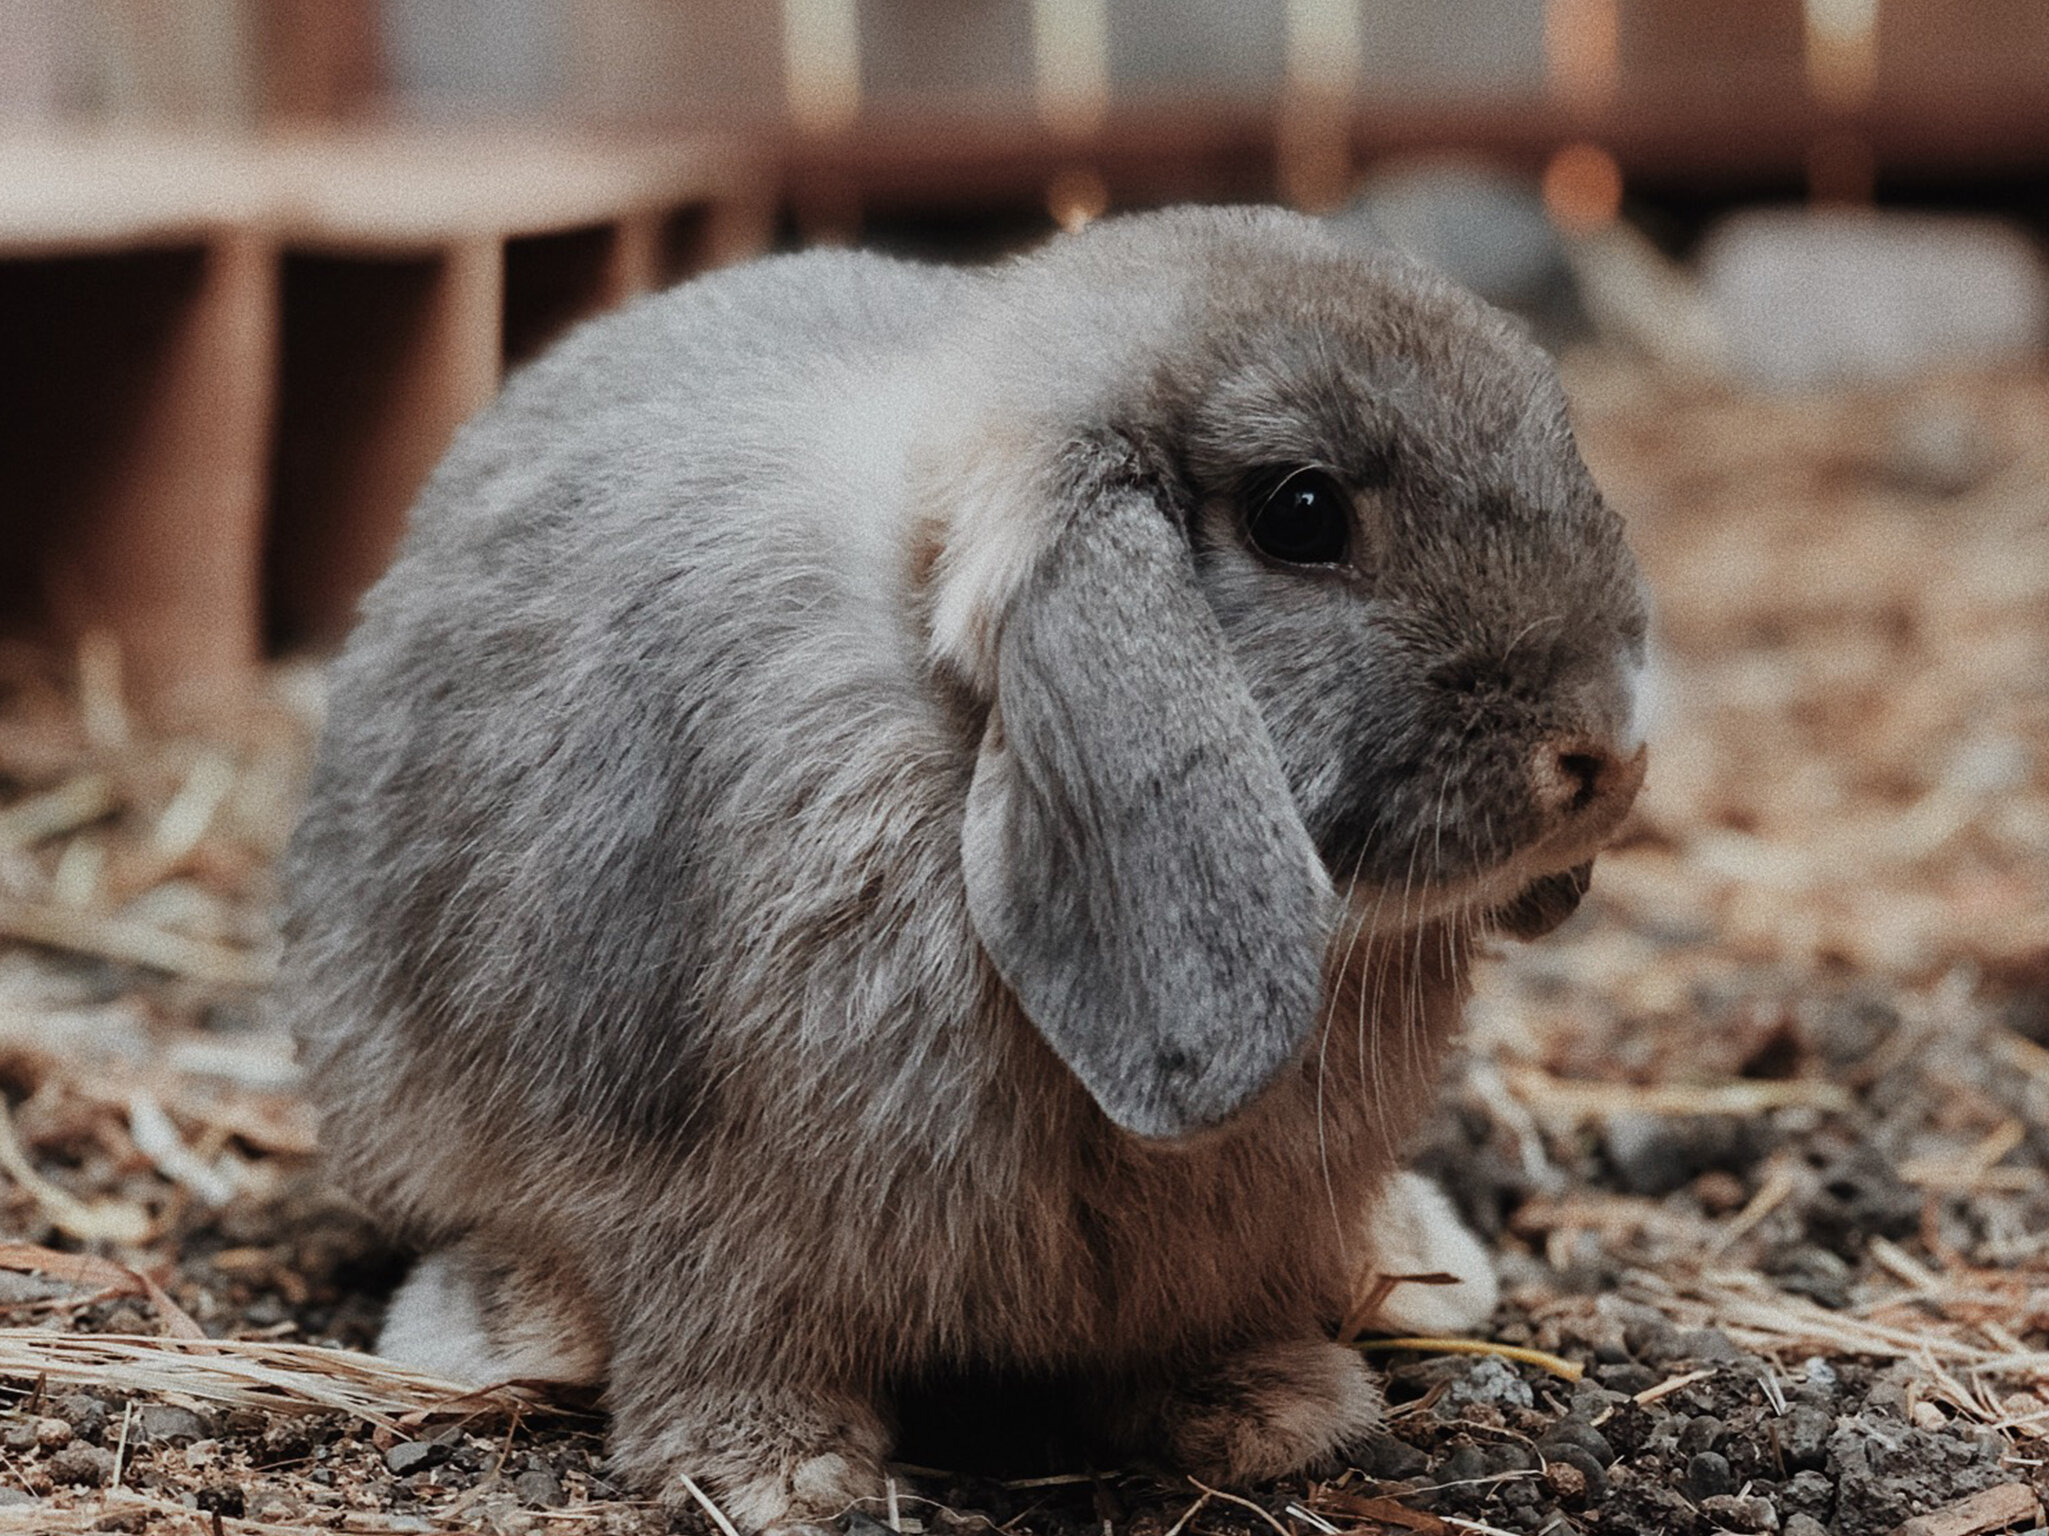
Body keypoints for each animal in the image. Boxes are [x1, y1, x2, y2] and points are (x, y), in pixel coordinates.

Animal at [276, 201, 1647, 1531]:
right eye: (1299, 514)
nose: (1604, 752)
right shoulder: (688, 1175)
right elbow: (718, 1326)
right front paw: (777, 1475)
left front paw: (1276, 1409)